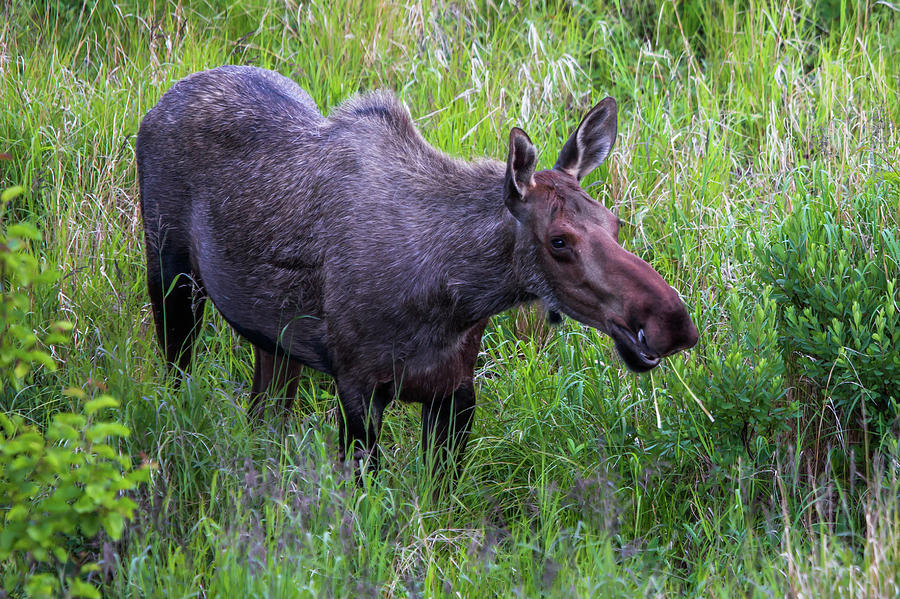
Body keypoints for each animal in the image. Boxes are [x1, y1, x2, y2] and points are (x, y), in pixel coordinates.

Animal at [137, 65, 700, 476]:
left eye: (615, 223)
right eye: (559, 241)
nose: (672, 321)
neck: (451, 299)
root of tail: (163, 100)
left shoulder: (455, 393)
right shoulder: (357, 386)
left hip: (272, 339)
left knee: (264, 414)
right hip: (171, 275)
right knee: (176, 381)